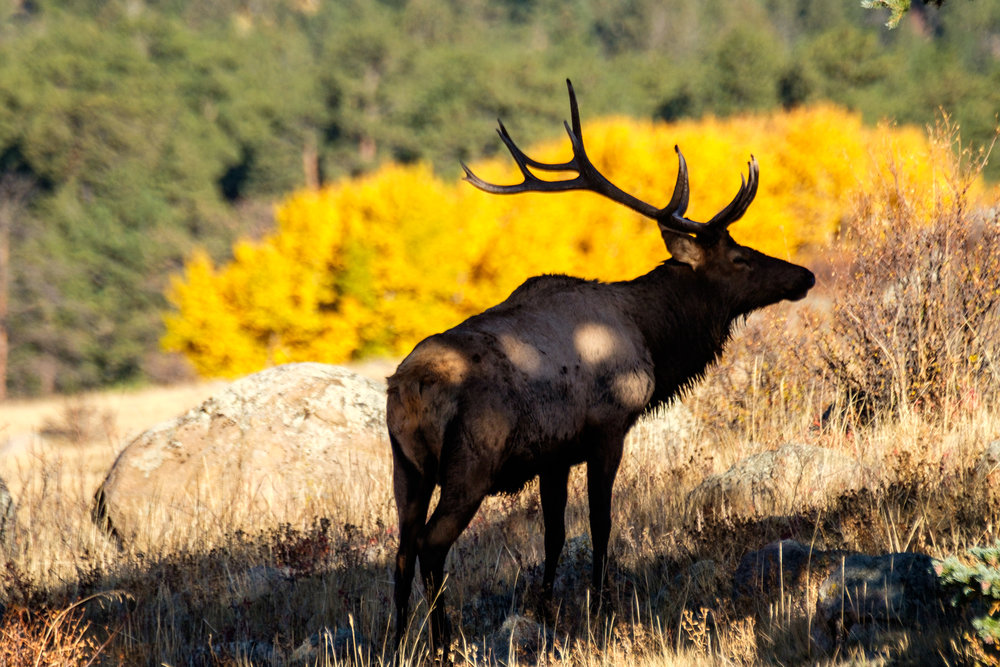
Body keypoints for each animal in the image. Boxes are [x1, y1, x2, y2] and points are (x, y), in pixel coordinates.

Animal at [386, 79, 816, 652]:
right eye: (741, 258)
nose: (805, 275)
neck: (653, 337)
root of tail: (409, 389)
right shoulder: (608, 426)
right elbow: (600, 521)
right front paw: (601, 606)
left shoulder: (552, 453)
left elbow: (553, 532)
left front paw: (546, 609)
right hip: (471, 459)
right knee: (432, 545)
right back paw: (442, 643)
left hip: (405, 464)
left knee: (401, 549)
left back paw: (395, 641)